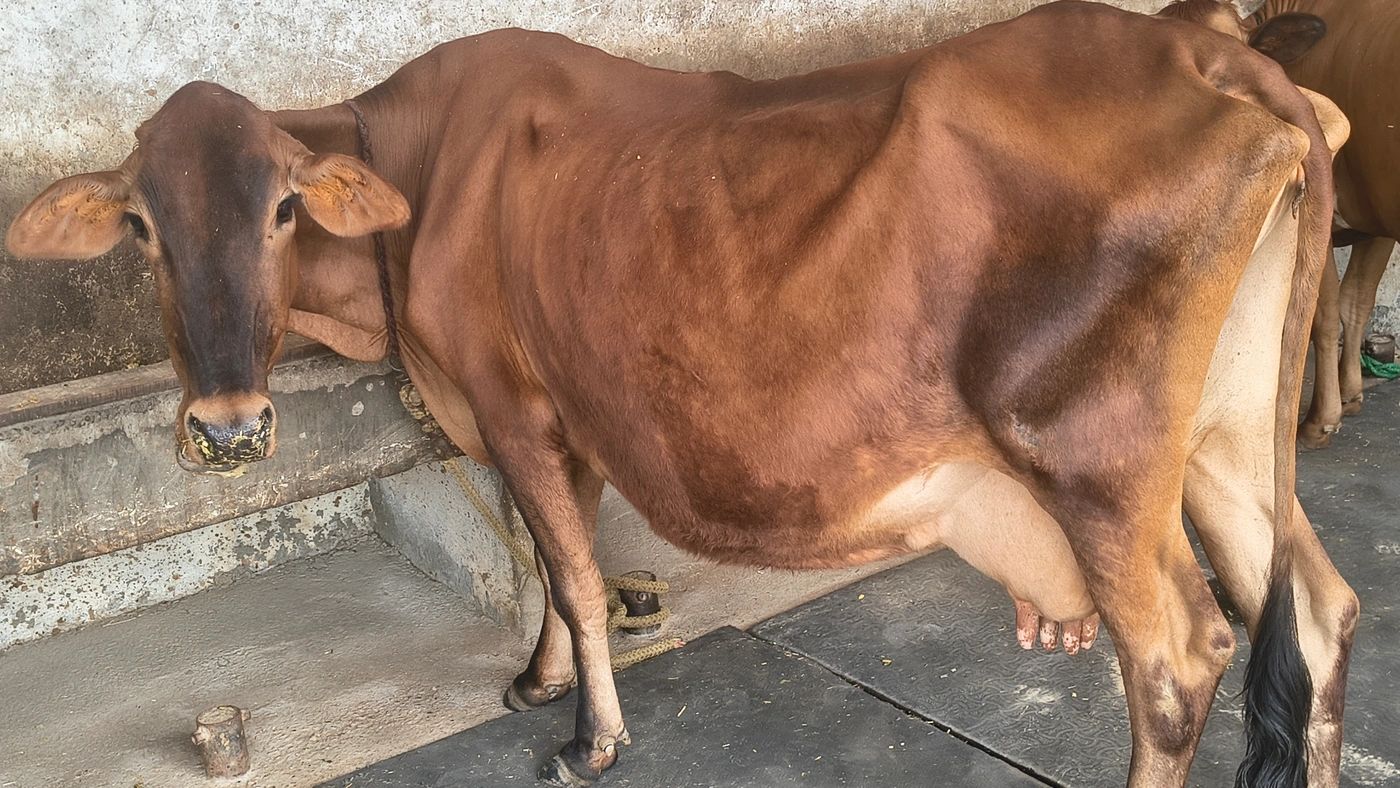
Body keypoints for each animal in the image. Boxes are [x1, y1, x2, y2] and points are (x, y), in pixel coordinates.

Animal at [5, 2, 1359, 786]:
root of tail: (1216, 55)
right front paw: (540, 677)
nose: (228, 428)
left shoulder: (510, 403)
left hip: (1096, 461)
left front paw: (587, 738)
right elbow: (559, 560)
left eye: (283, 207)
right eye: (142, 226)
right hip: (1227, 444)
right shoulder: (567, 408)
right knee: (1314, 609)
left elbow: (572, 570)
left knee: (1177, 661)